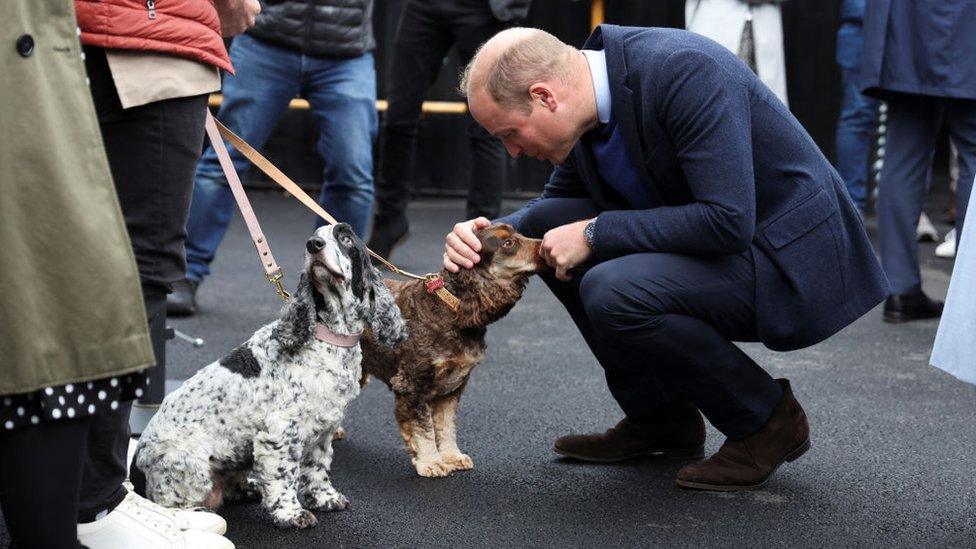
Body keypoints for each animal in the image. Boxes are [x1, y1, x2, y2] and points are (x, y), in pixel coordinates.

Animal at [360, 223, 544, 476]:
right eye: (508, 243)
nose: (544, 245)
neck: (452, 308)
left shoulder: (452, 386)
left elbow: (446, 426)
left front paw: (451, 457)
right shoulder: (412, 385)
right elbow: (423, 428)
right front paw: (431, 462)